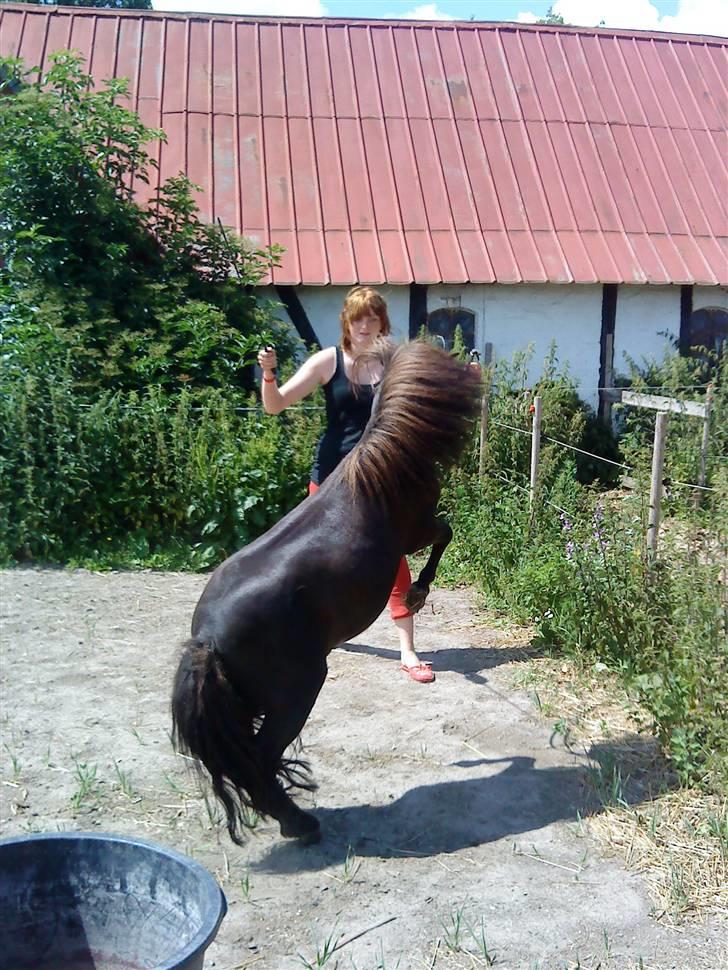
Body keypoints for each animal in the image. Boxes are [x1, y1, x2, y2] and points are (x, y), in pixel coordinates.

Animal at [171, 339, 481, 845]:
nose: (472, 362)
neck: (381, 468)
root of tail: (207, 639)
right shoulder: (417, 530)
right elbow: (446, 534)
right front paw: (417, 593)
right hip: (297, 693)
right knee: (259, 760)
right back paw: (301, 824)